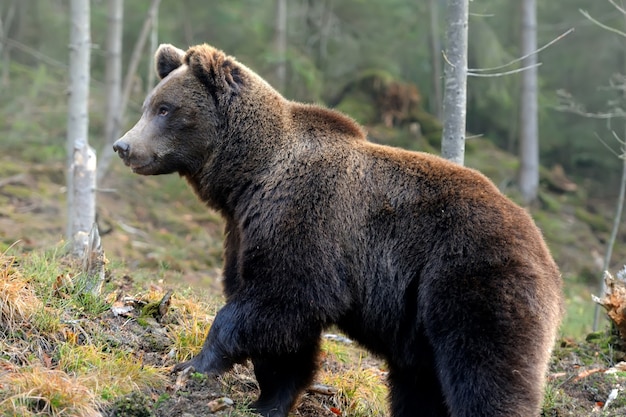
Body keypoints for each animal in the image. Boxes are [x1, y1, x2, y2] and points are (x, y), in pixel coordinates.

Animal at [113, 43, 564, 416]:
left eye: (165, 109)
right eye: (149, 105)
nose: (123, 146)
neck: (248, 178)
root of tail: (544, 252)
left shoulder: (306, 221)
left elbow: (278, 298)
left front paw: (193, 363)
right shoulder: (246, 230)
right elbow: (285, 339)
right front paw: (267, 401)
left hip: (472, 280)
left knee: (486, 370)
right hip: (422, 323)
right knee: (419, 383)